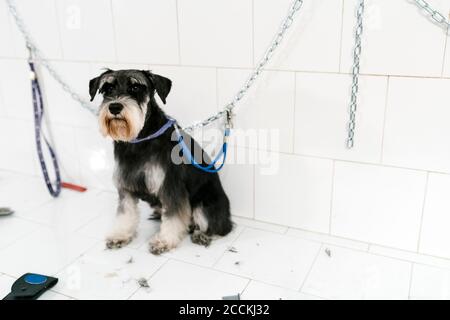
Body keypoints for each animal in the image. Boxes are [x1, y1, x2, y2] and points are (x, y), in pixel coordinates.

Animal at [89, 69, 234, 254]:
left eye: (136, 87)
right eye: (107, 88)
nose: (114, 107)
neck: (140, 140)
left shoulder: (170, 186)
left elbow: (173, 216)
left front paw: (163, 241)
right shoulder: (126, 187)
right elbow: (125, 213)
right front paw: (120, 235)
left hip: (204, 205)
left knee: (221, 227)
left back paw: (202, 235)